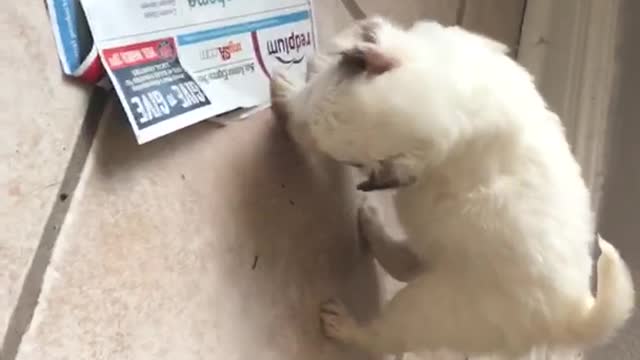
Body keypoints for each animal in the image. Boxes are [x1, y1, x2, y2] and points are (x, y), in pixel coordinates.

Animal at [270, 16, 636, 358]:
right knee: (407, 262)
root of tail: (573, 312)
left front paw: (285, 93)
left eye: (347, 159)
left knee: (388, 330)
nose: (296, 130)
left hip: (435, 307)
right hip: (440, 255)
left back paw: (344, 324)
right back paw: (372, 225)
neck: (455, 96)